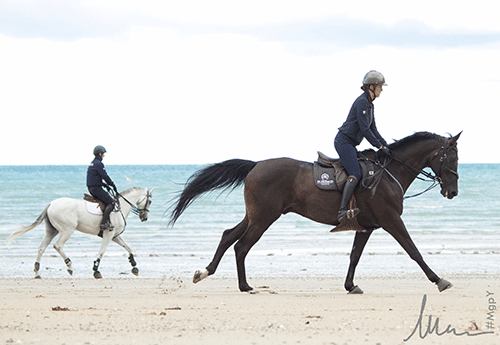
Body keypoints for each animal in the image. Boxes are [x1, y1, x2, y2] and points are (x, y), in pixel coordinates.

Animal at [6, 187, 154, 278]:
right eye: (150, 201)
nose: (144, 218)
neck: (120, 208)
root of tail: (51, 204)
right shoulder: (108, 235)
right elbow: (101, 252)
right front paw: (96, 271)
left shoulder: (115, 236)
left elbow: (129, 248)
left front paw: (134, 266)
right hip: (67, 230)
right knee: (58, 246)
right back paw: (69, 266)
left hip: (52, 230)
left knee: (41, 247)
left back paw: (37, 272)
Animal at [168, 132, 460, 292]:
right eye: (452, 158)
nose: (453, 191)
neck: (388, 172)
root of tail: (256, 164)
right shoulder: (391, 220)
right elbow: (413, 250)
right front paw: (439, 280)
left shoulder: (366, 226)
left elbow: (354, 257)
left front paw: (350, 286)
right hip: (263, 218)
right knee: (241, 245)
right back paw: (244, 286)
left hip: (255, 215)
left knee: (229, 235)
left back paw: (206, 273)